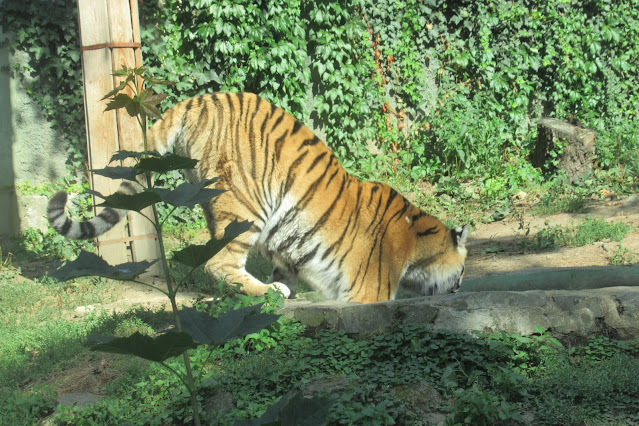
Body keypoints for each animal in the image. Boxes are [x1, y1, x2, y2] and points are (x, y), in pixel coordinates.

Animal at [47, 92, 469, 303]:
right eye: (463, 269)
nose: (461, 286)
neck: (415, 244)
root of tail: (196, 101)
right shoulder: (368, 293)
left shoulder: (292, 245)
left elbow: (289, 263)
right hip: (242, 204)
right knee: (218, 263)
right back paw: (269, 293)